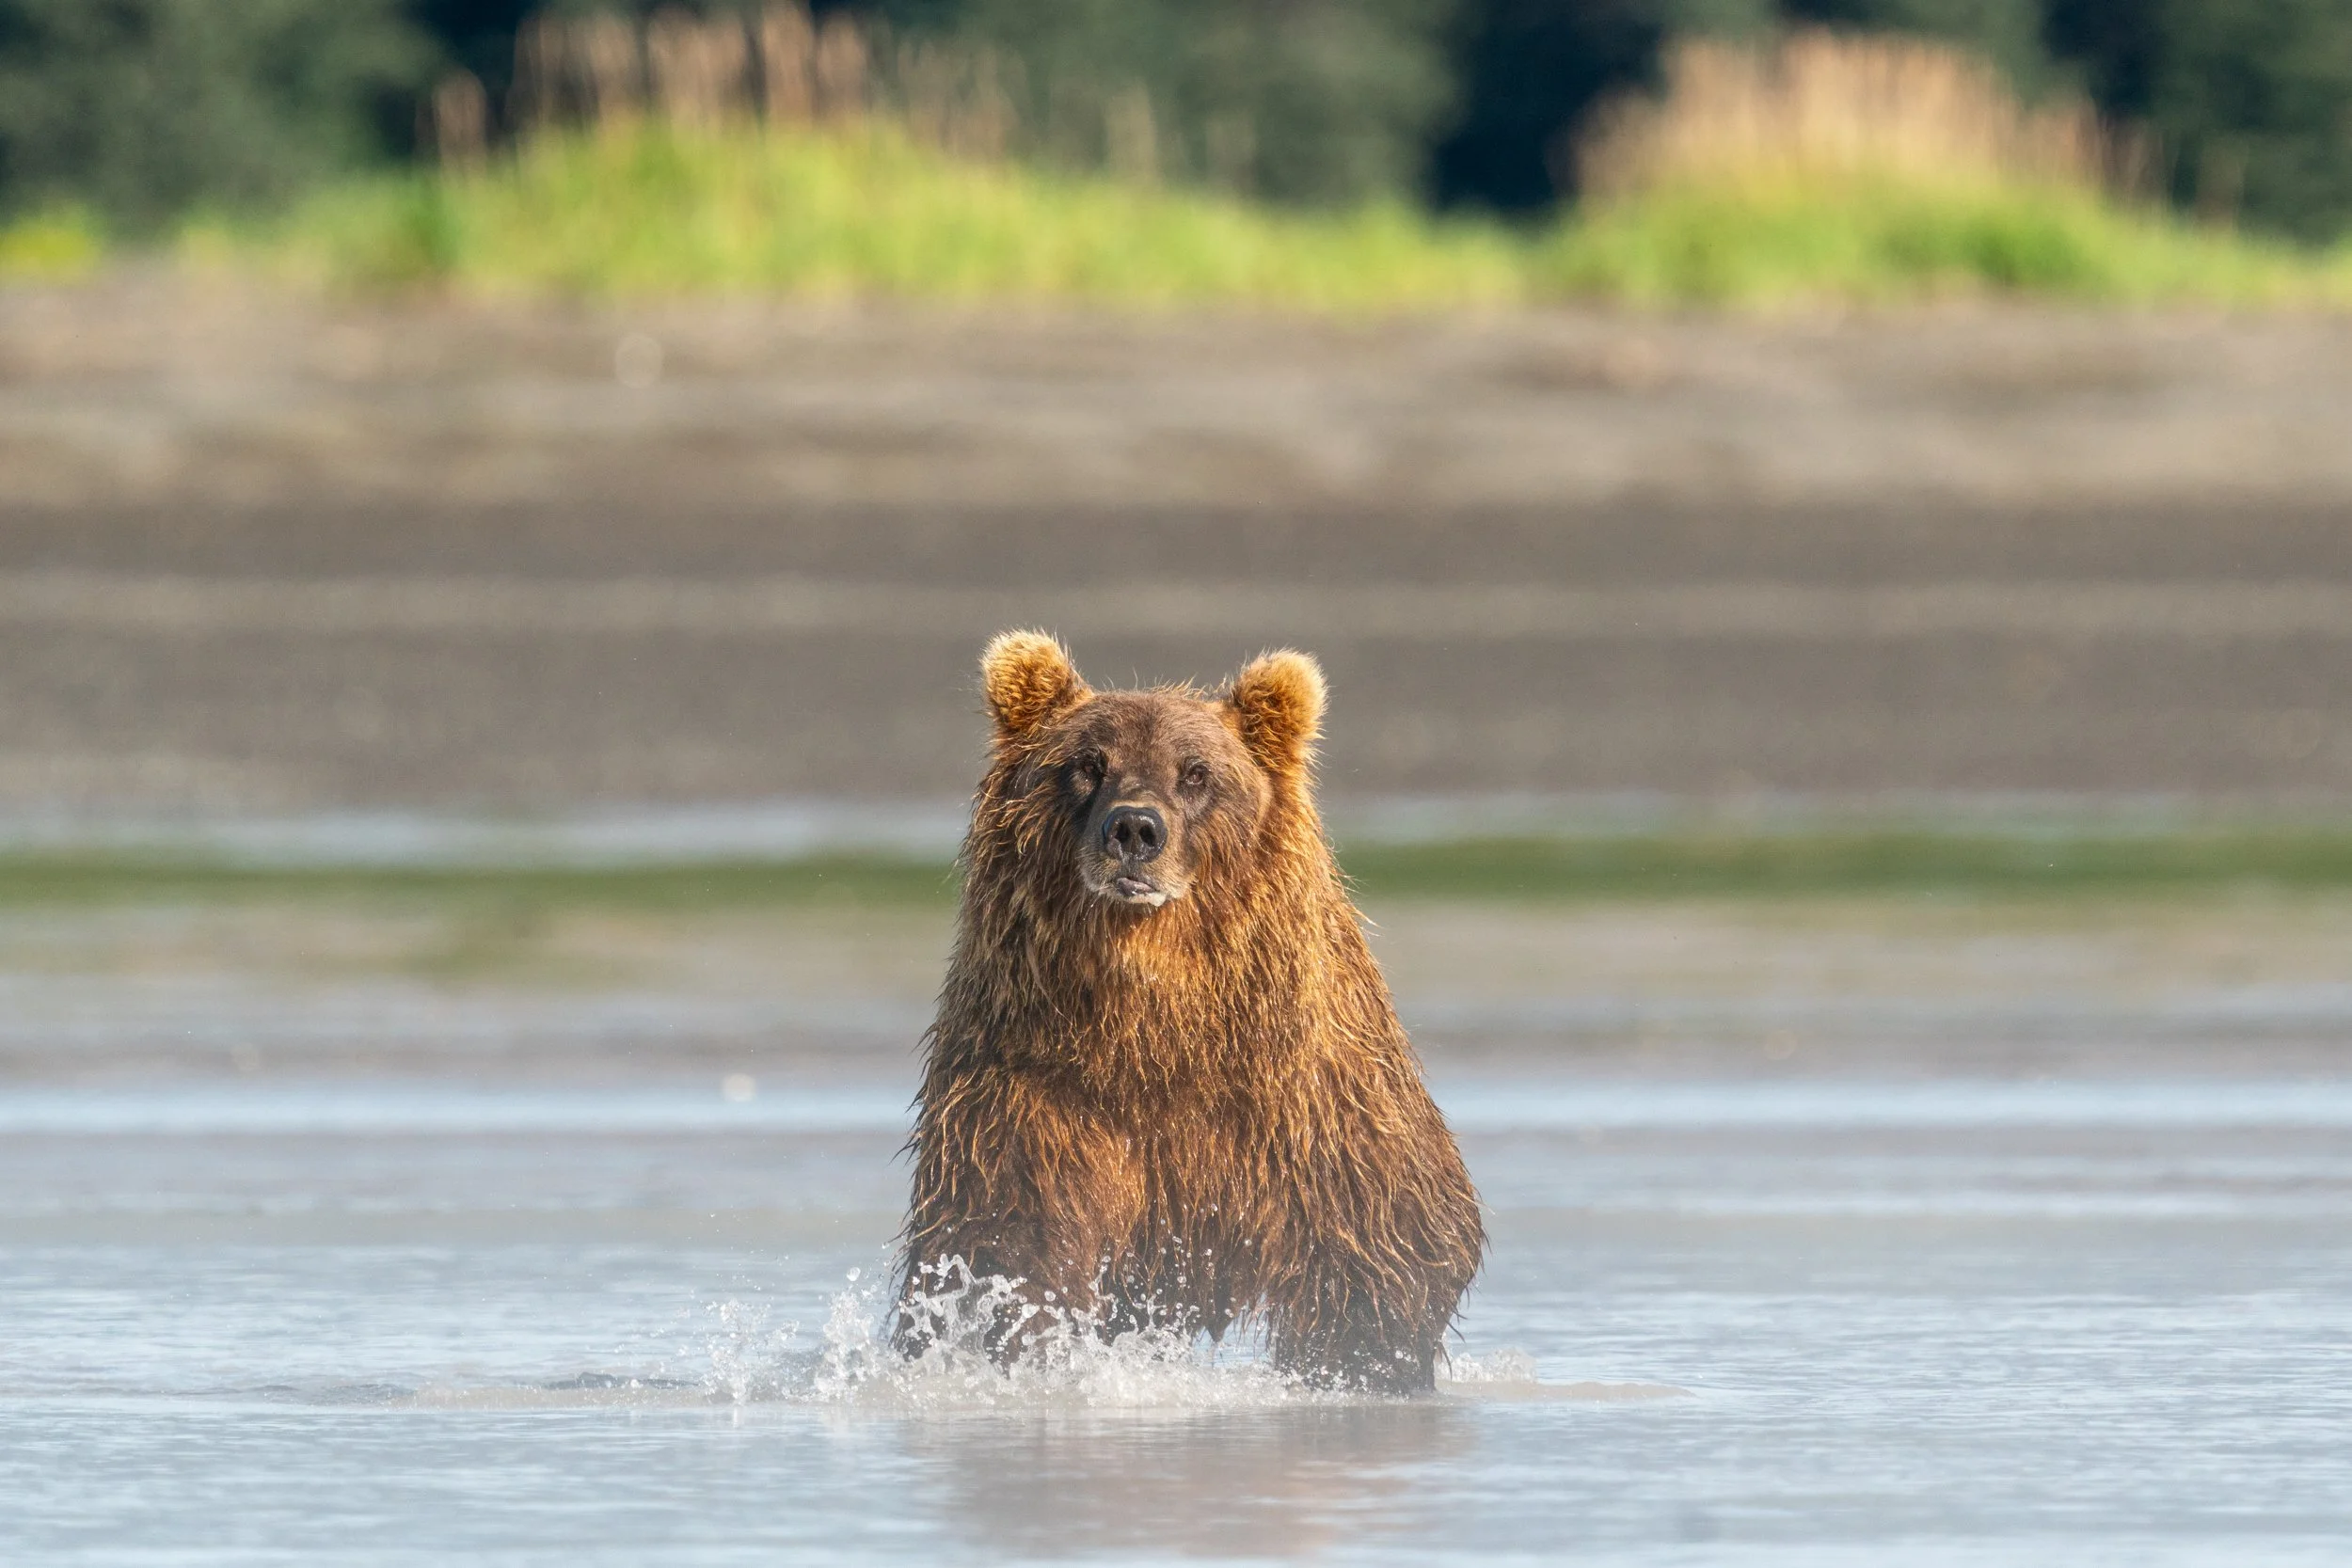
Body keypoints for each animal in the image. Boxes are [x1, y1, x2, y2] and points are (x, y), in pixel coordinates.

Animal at [893, 631, 1484, 1394]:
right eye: (1088, 764)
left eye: (1196, 772)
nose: (1135, 829)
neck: (1159, 1028)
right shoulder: (1029, 1094)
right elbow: (1007, 1245)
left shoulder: (1312, 1109)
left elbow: (1382, 1249)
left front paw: (1356, 1367)